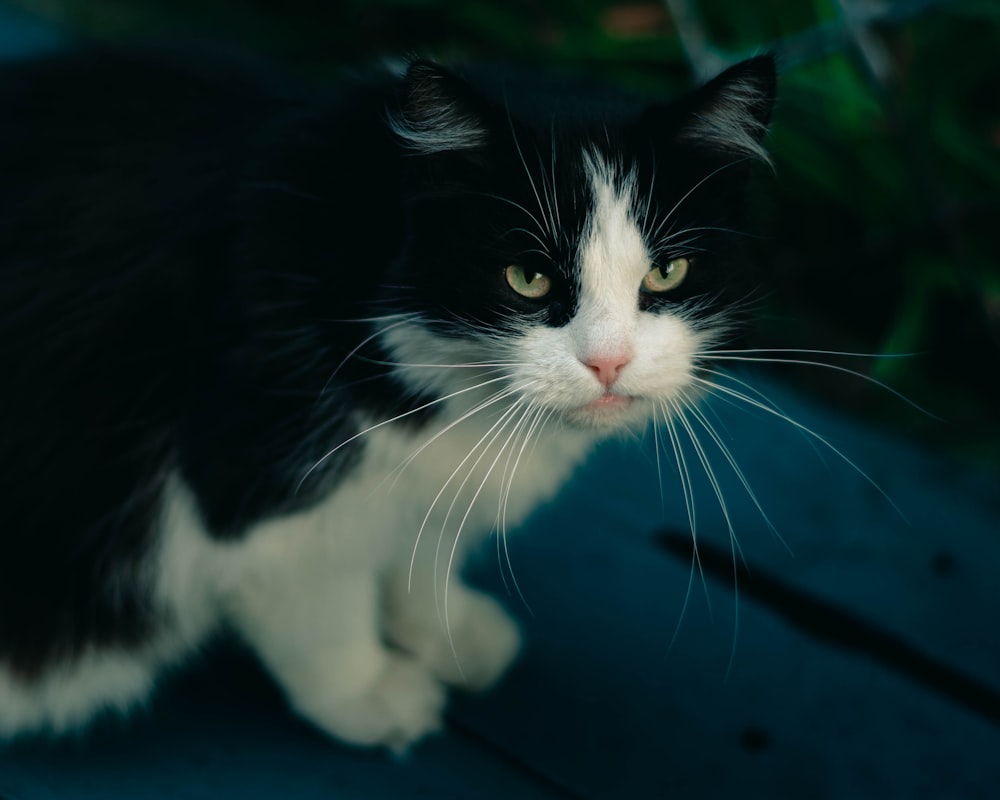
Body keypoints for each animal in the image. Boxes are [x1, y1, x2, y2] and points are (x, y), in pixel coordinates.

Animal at [0, 48, 772, 752]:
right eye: (526, 278)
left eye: (668, 272)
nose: (609, 361)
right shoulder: (248, 472)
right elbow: (315, 594)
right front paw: (366, 689)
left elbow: (422, 543)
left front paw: (444, 628)